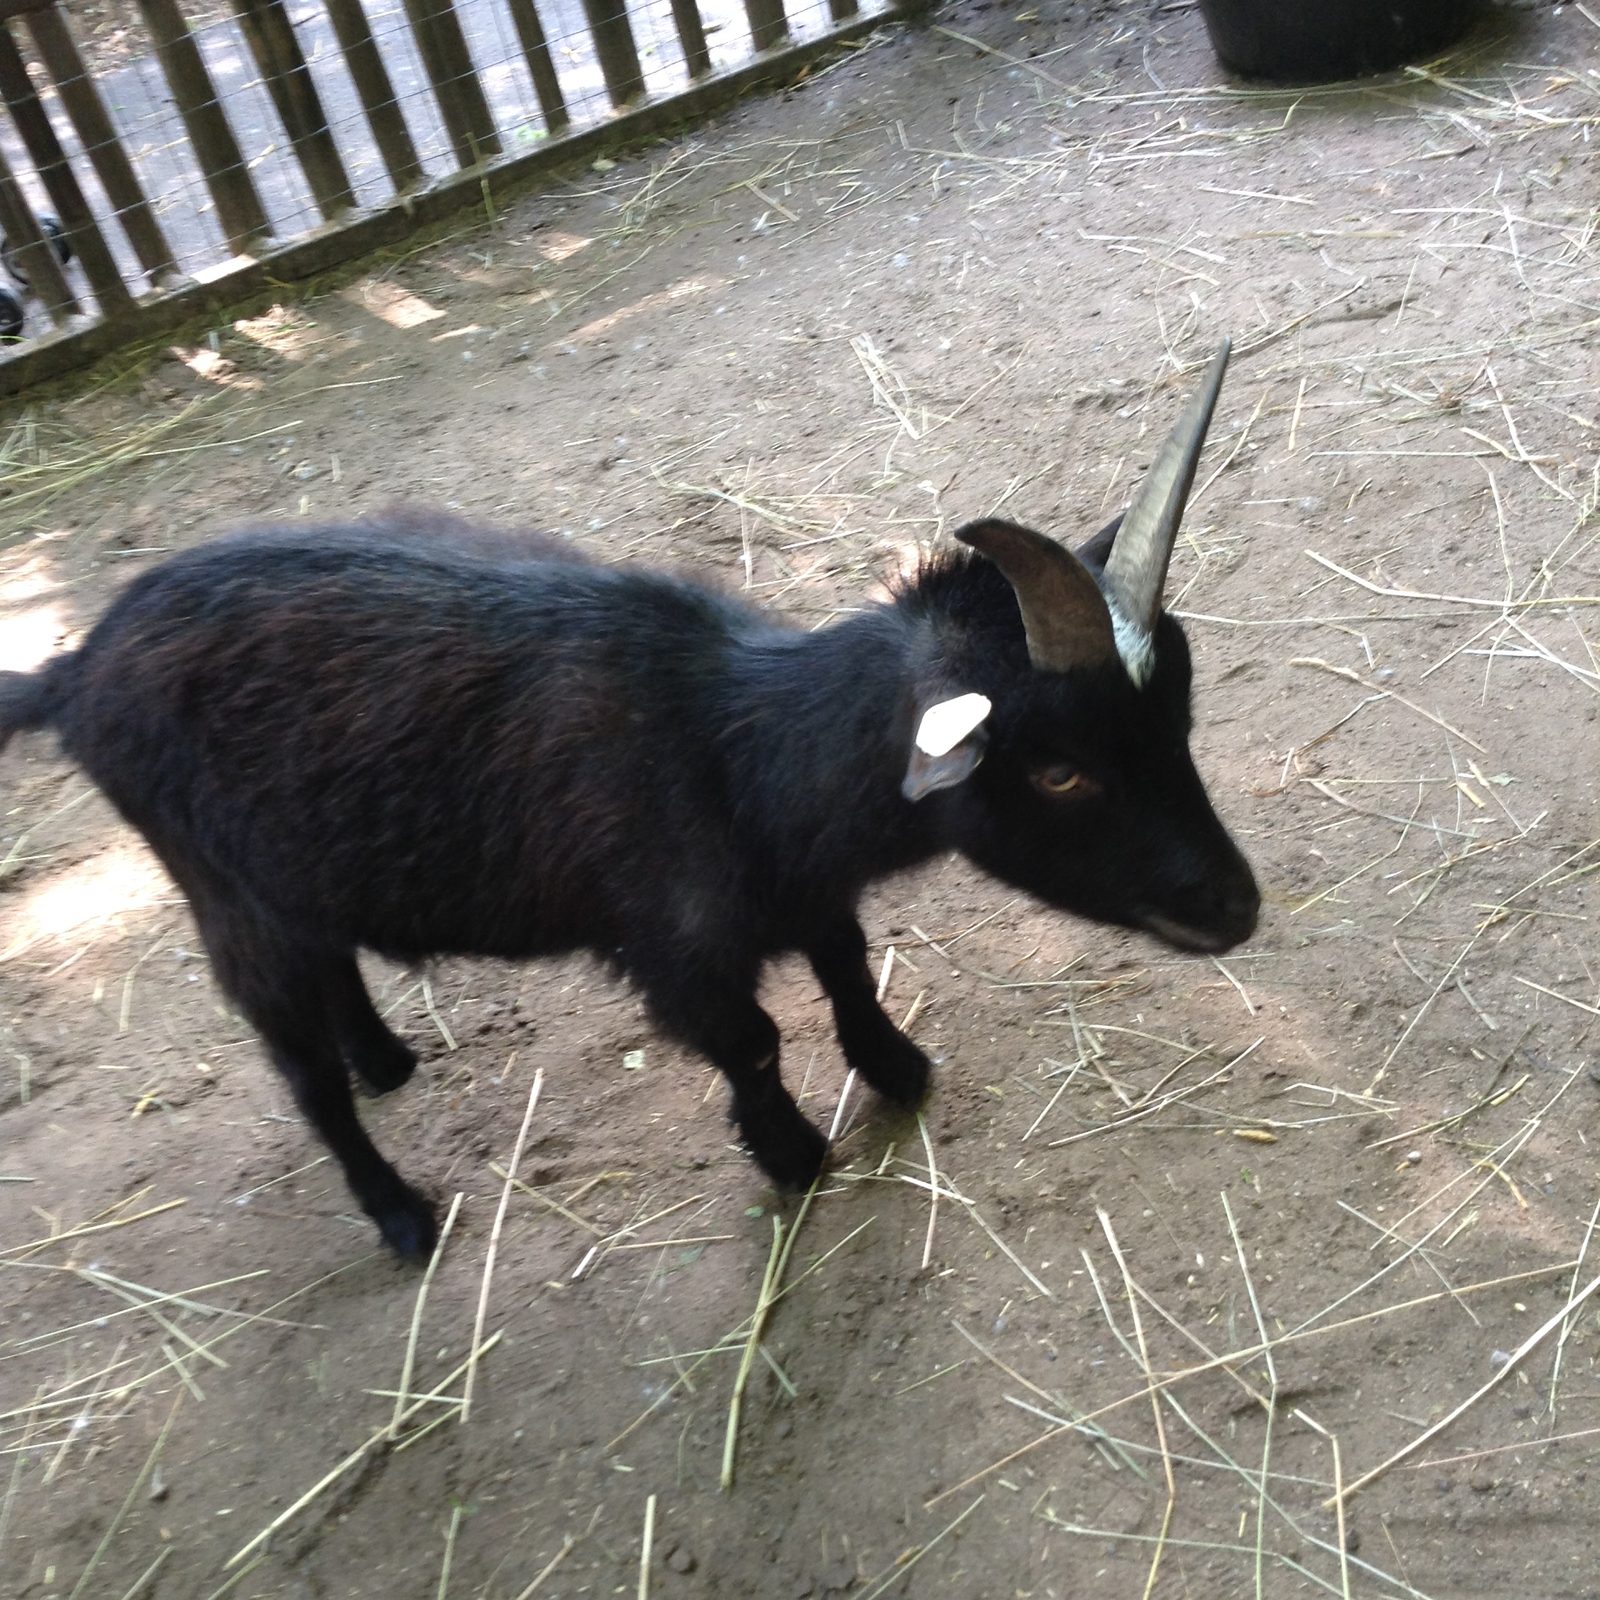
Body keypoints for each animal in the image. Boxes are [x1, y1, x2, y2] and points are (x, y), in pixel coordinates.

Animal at [0, 342, 1258, 1260]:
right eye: (1058, 767)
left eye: (1180, 712)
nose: (1236, 907)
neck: (733, 744)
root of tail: (75, 670)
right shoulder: (675, 945)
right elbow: (750, 1043)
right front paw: (793, 1155)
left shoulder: (803, 887)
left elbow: (846, 966)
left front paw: (896, 1070)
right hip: (225, 892)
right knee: (300, 1071)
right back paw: (400, 1214)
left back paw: (387, 1060)